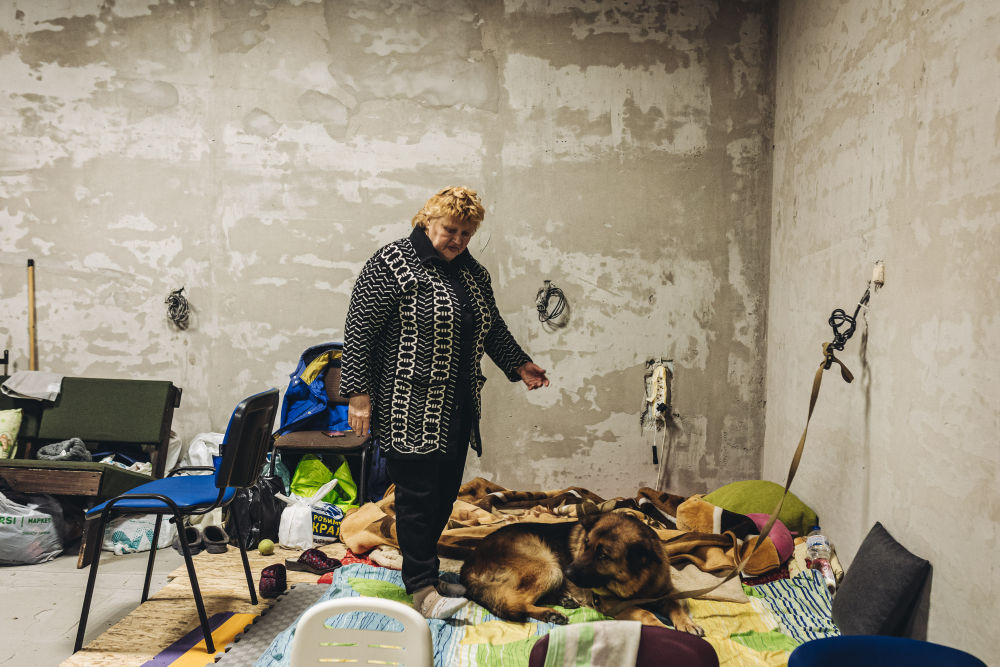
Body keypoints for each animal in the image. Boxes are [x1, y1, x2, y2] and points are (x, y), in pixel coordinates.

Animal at [459, 511, 703, 635]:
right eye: (585, 544)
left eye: (603, 555)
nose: (569, 571)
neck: (639, 582)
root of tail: (467, 566)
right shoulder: (611, 605)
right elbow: (645, 613)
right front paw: (663, 627)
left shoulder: (665, 593)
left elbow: (676, 605)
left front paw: (687, 624)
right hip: (549, 566)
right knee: (518, 601)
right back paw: (550, 613)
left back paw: (563, 600)